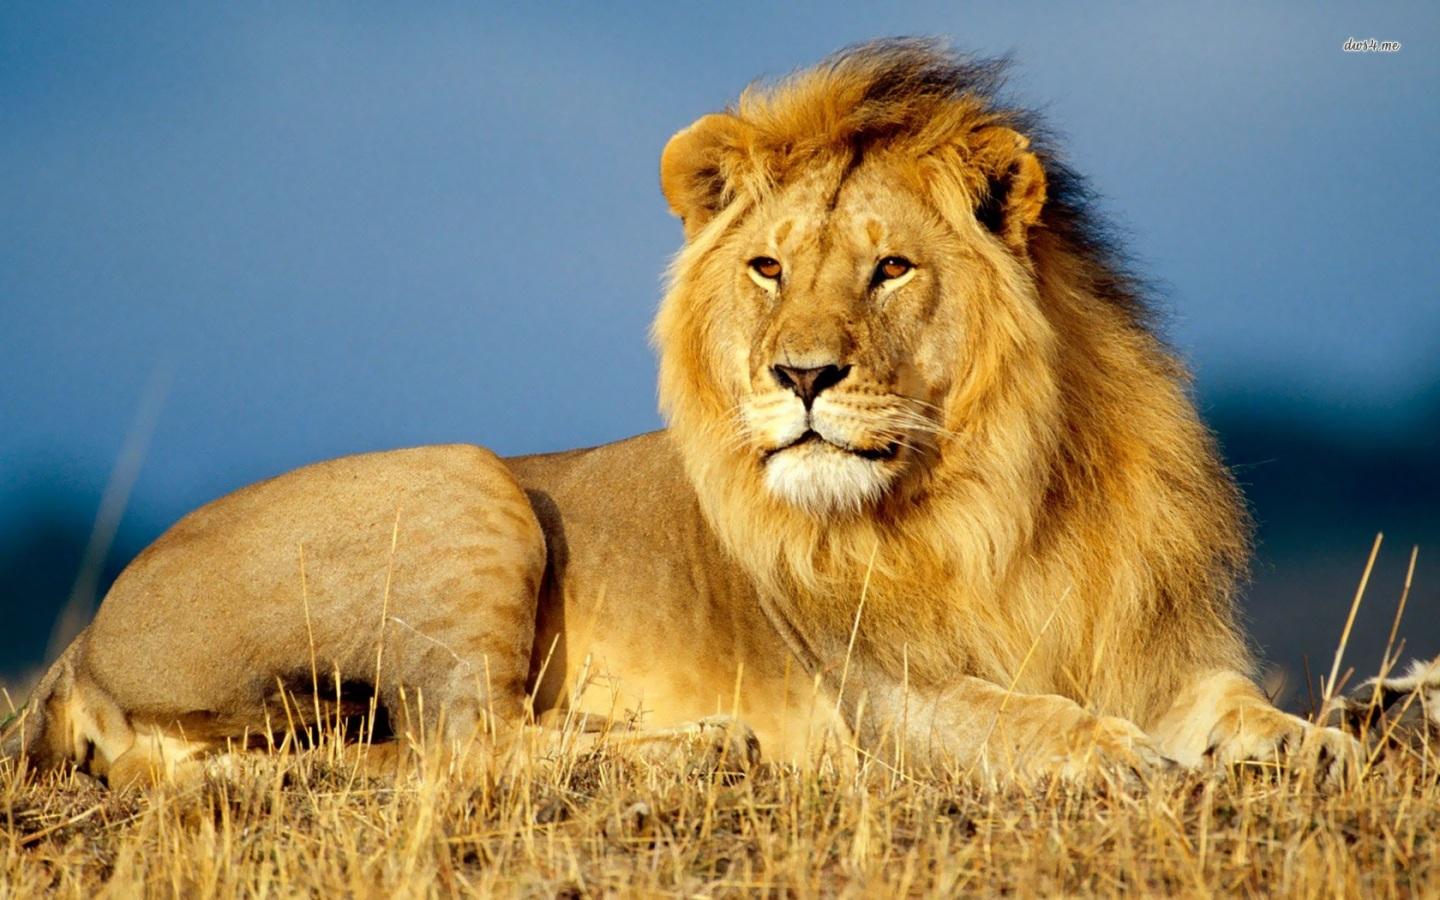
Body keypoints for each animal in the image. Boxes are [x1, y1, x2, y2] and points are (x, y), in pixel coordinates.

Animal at [4, 40, 1373, 788]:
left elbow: (1237, 706)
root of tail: (81, 644)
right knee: (464, 745)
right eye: (768, 268)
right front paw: (1109, 754)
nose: (802, 376)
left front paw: (1319, 746)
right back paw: (699, 748)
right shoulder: (878, 695)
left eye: (890, 269)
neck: (1000, 493)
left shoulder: (1156, 646)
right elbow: (1013, 715)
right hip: (466, 483)